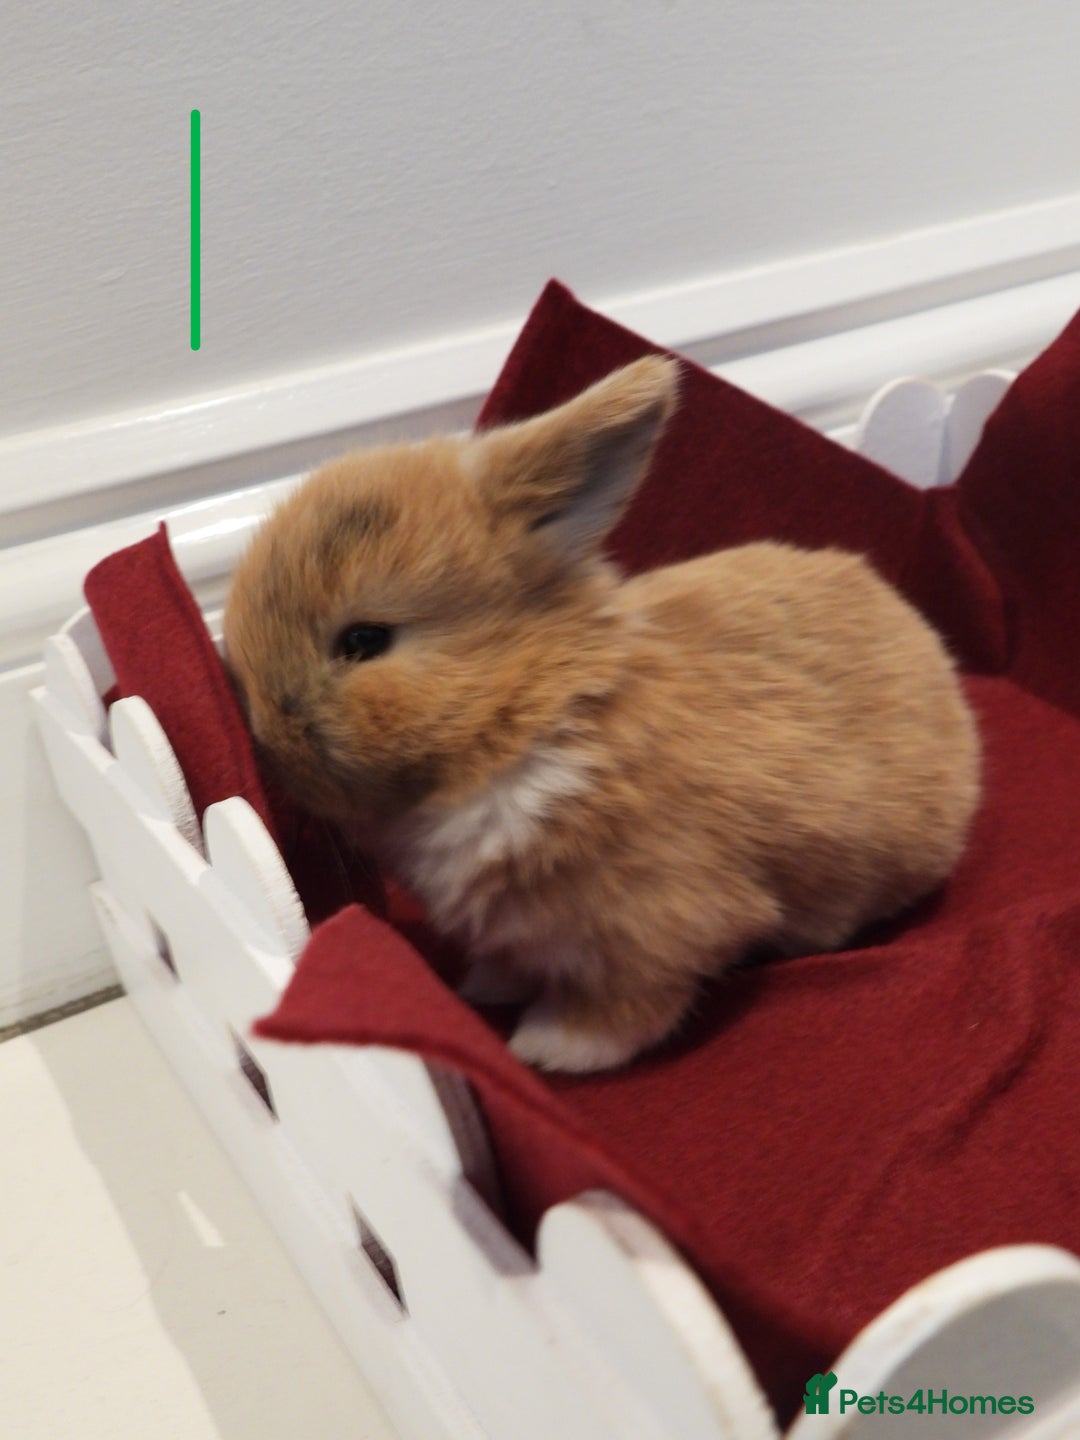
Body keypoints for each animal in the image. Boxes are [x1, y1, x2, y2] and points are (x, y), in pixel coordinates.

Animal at [223, 356, 981, 1075]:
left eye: (364, 640)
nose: (264, 739)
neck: (529, 712)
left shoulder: (657, 925)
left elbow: (626, 1006)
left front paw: (549, 1048)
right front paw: (484, 986)